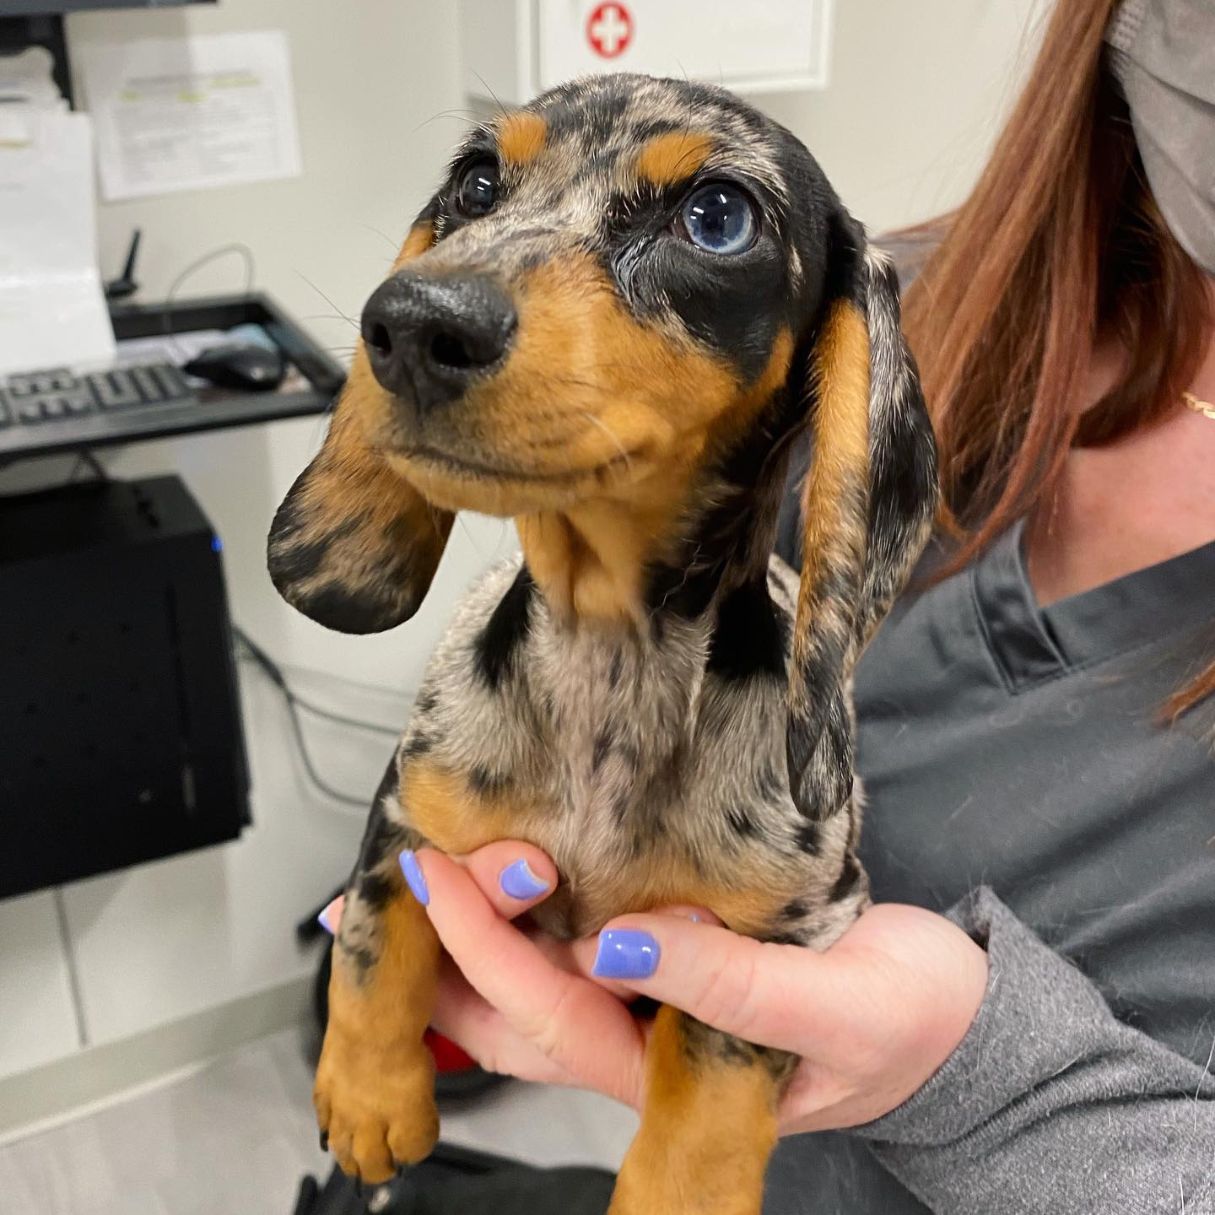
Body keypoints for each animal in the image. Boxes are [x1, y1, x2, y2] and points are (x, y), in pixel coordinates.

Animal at [268, 73, 937, 1215]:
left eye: (716, 216)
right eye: (476, 183)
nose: (410, 324)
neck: (607, 660)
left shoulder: (787, 930)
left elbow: (714, 1067)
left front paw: (677, 1188)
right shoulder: (408, 809)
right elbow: (374, 925)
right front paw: (368, 1095)